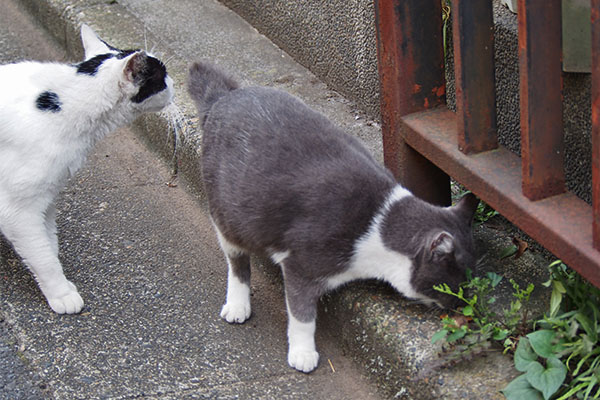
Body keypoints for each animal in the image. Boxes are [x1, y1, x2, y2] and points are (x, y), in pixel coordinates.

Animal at [0, 25, 173, 314]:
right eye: (162, 77)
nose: (175, 86)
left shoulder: (47, 196)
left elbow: (49, 243)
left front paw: (63, 284)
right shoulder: (18, 210)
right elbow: (43, 256)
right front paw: (61, 294)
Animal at [188, 61, 478, 374]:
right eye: (455, 282)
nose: (464, 304)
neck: (377, 222)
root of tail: (223, 97)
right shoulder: (300, 265)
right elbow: (302, 313)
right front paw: (303, 353)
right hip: (228, 215)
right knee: (236, 260)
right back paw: (237, 305)